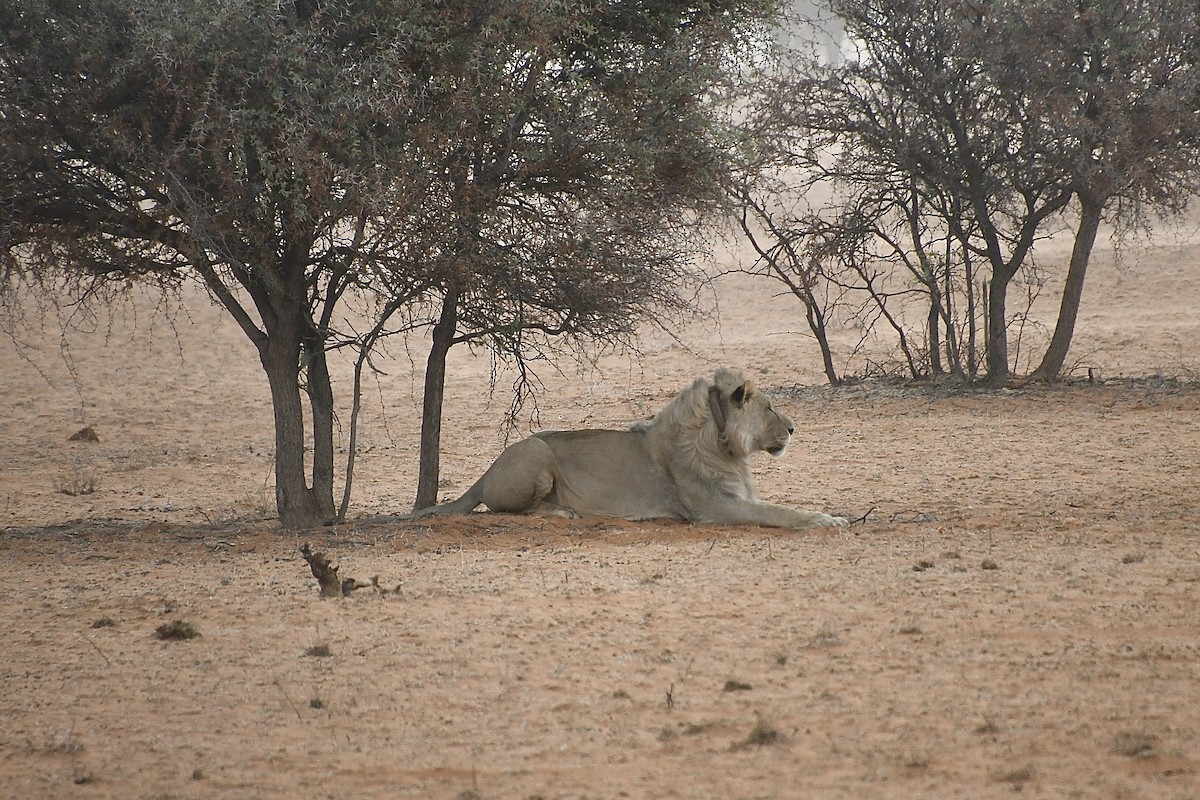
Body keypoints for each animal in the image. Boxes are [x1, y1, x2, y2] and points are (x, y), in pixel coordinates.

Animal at [406, 367, 848, 530]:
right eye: (770, 407)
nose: (792, 428)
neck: (725, 445)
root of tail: (486, 472)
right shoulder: (715, 508)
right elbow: (779, 513)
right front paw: (825, 519)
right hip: (536, 451)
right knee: (511, 510)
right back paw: (564, 511)